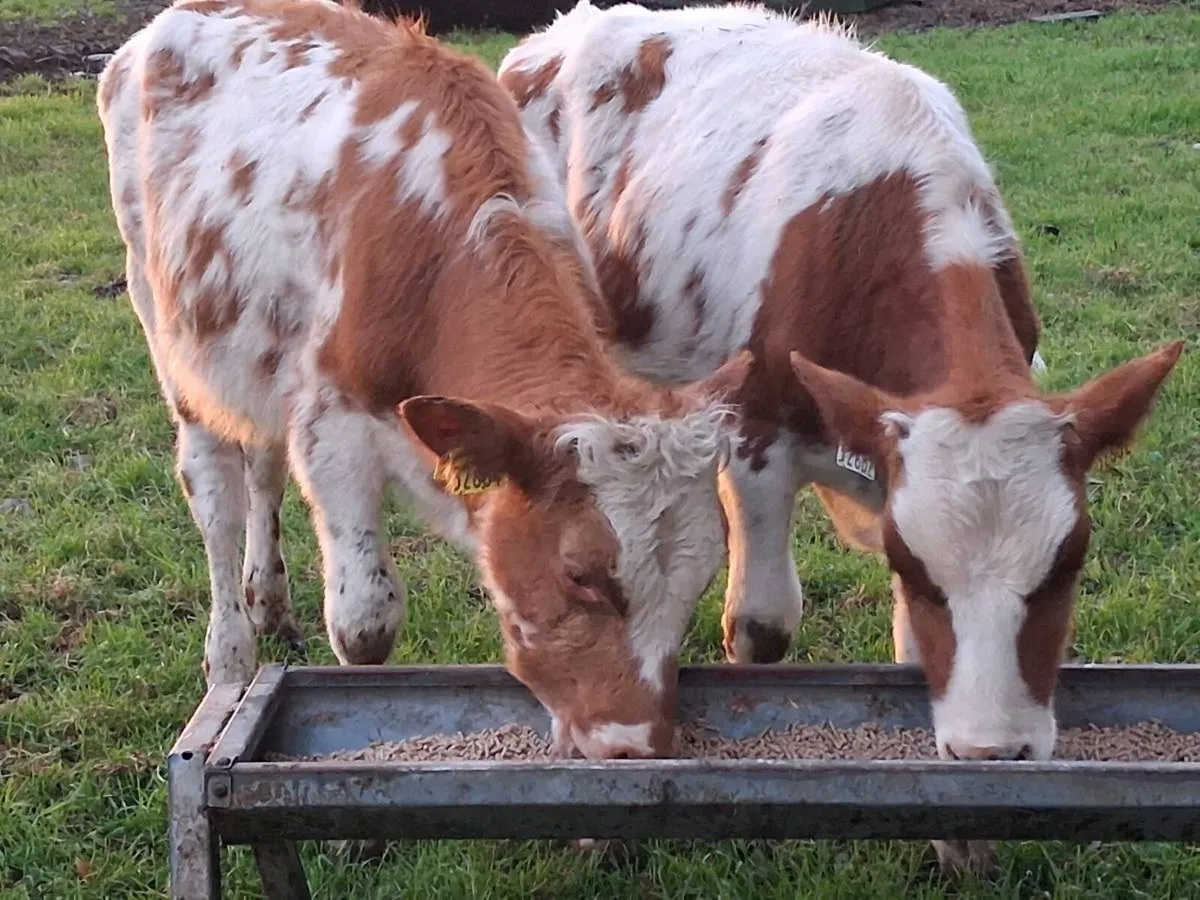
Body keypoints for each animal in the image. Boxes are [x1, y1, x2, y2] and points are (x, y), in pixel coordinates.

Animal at [97, 0, 753, 761]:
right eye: (580, 575)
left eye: (699, 580)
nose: (635, 746)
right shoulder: (332, 427)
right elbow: (365, 620)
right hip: (168, 325)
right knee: (215, 493)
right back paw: (230, 656)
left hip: (255, 354)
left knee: (261, 464)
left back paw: (269, 601)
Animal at [499, 0, 1183, 866]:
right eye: (923, 573)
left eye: (1068, 566)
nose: (998, 750)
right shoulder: (757, 440)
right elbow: (761, 626)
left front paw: (964, 838)